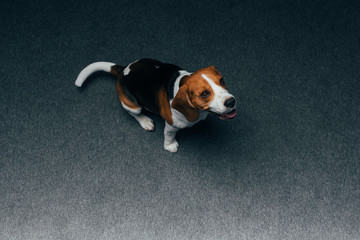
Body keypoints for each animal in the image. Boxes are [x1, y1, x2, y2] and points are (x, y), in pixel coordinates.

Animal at [75, 58, 236, 152]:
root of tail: (124, 70)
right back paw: (145, 121)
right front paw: (170, 146)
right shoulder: (171, 124)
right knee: (133, 112)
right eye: (204, 93)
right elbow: (169, 135)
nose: (231, 101)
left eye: (221, 80)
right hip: (132, 105)